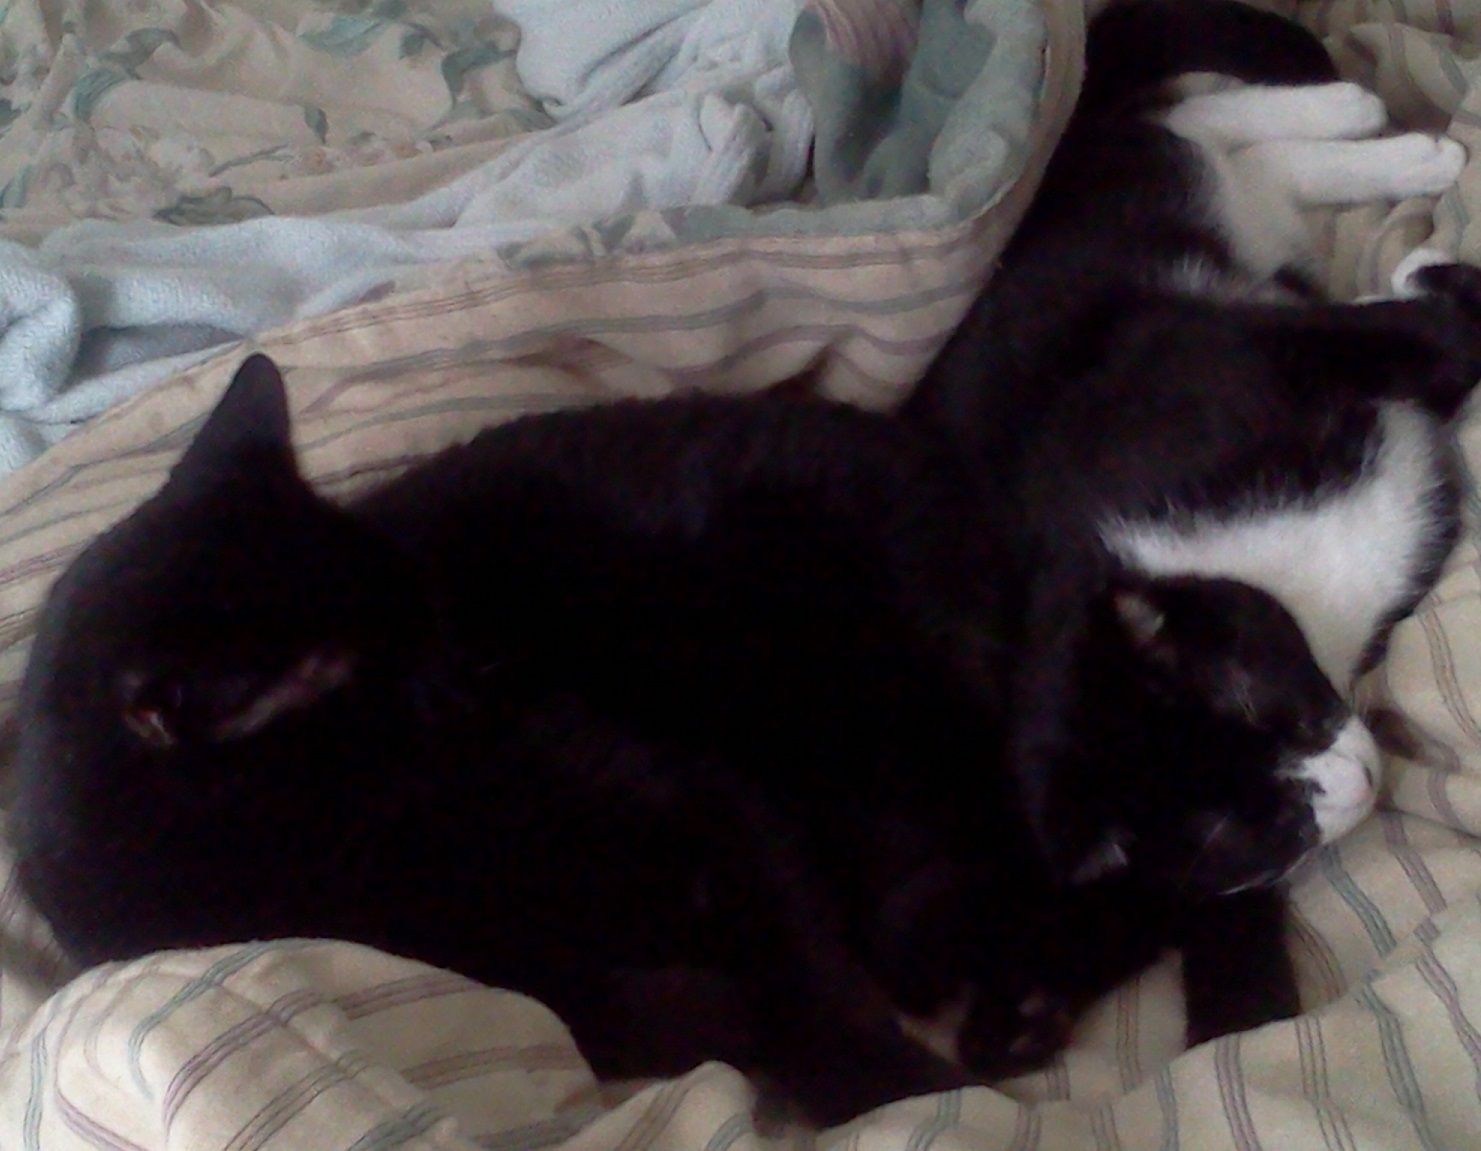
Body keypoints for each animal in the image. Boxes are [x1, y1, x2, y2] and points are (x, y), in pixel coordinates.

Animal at [10, 340, 1388, 1119]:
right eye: (391, 664)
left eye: (432, 612)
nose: (476, 673)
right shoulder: (520, 969)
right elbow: (659, 1013)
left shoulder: (711, 809)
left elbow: (807, 988)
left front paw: (905, 1093)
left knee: (1081, 886)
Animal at [902, 0, 1481, 1063]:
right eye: (1253, 831)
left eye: (1265, 708)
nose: (1348, 783)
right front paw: (1240, 1006)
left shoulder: (1218, 353)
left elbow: (1410, 337)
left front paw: (1432, 278)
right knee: (1233, 152)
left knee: (1198, 128)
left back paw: (1369, 123)